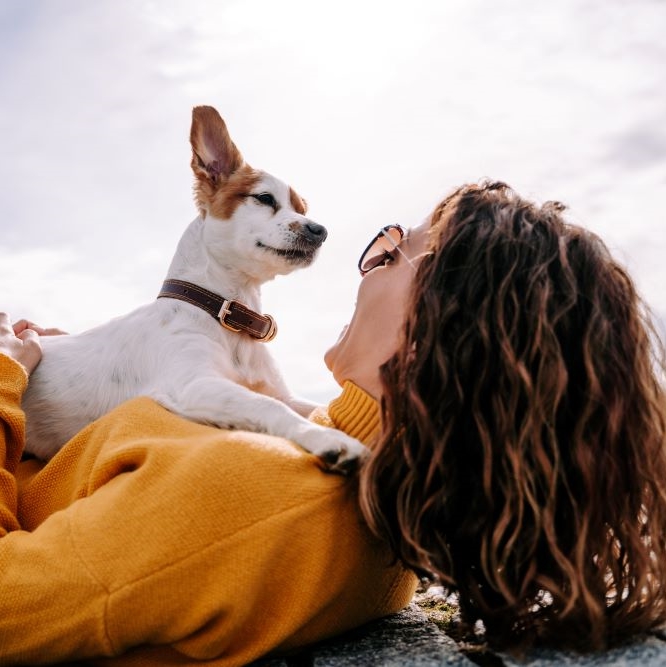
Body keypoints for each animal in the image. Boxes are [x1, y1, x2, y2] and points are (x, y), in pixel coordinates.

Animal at [22, 105, 364, 470]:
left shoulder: (278, 391)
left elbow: (309, 405)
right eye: (264, 198)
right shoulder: (194, 385)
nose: (320, 230)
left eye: (302, 209)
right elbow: (268, 406)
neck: (227, 316)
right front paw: (328, 438)